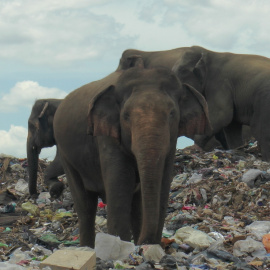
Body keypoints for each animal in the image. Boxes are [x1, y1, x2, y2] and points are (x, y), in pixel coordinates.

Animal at [53, 60, 212, 247]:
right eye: (126, 116)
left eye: (172, 113)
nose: (143, 243)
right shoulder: (107, 137)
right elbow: (121, 185)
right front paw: (120, 246)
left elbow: (163, 183)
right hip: (66, 155)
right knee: (85, 205)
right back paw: (87, 248)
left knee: (135, 206)